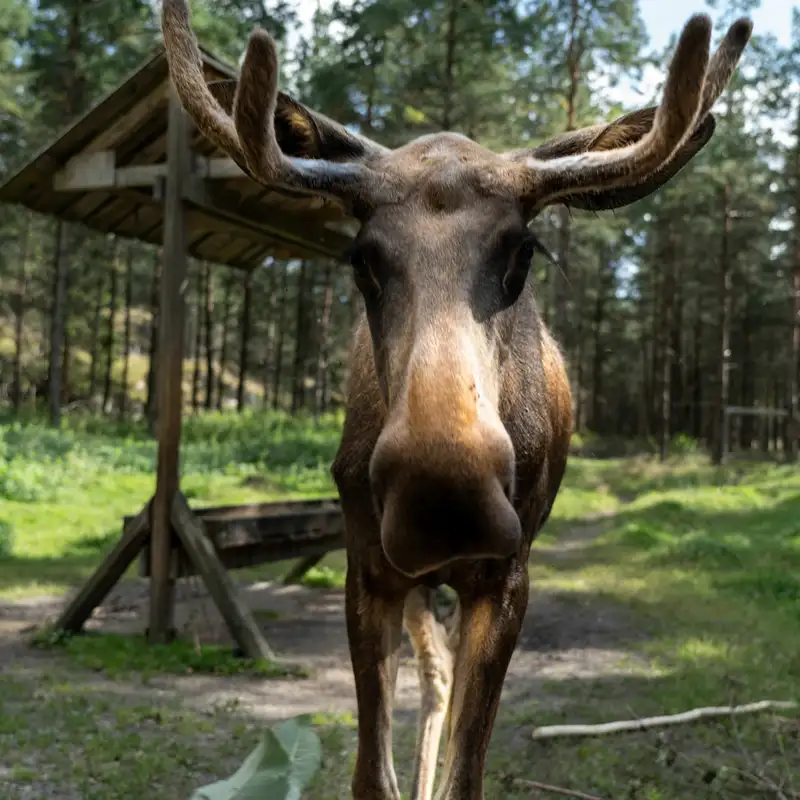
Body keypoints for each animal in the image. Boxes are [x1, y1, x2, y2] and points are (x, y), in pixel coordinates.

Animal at [159, 3, 751, 797]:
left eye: (523, 253)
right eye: (362, 259)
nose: (445, 496)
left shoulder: (506, 577)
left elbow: (467, 771)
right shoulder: (368, 566)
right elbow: (370, 774)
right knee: (434, 672)